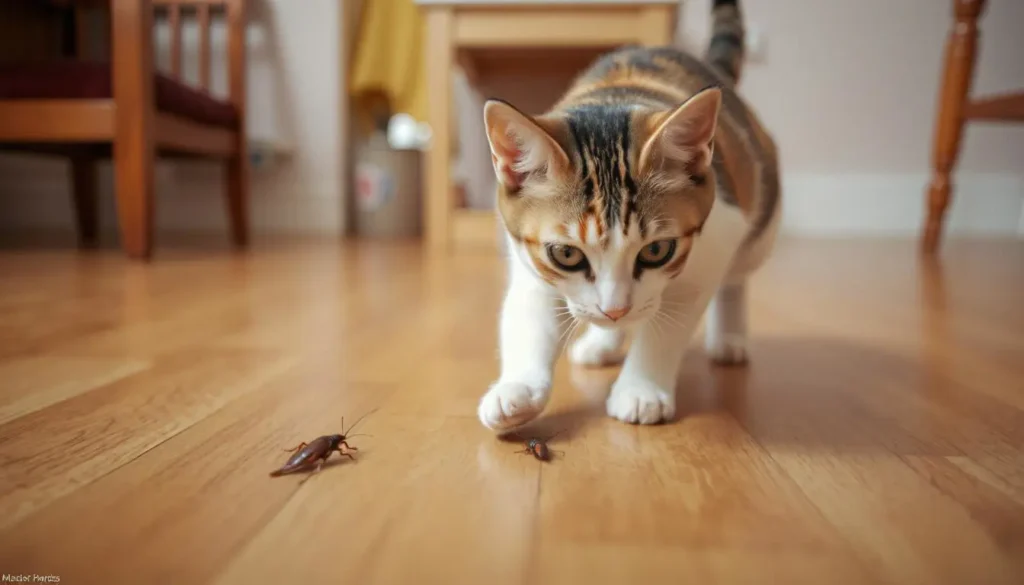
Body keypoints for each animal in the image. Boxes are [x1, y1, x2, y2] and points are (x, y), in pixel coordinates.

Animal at [475, 0, 778, 430]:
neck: (609, 105)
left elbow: (668, 327)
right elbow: (529, 311)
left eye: (657, 251)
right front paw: (518, 388)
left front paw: (640, 390)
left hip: (758, 219)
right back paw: (602, 342)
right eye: (566, 254)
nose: (614, 309)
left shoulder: (714, 243)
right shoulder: (527, 256)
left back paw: (729, 339)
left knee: (736, 276)